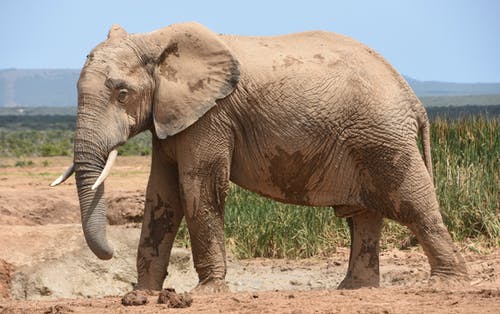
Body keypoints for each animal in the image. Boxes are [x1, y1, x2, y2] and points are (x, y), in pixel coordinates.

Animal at [51, 21, 468, 292]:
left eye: (122, 94)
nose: (107, 254)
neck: (155, 40)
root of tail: (412, 97)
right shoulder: (172, 115)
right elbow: (161, 194)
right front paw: (140, 297)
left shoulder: (212, 115)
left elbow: (199, 188)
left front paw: (207, 293)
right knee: (365, 215)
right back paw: (353, 290)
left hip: (383, 136)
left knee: (414, 203)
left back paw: (444, 285)